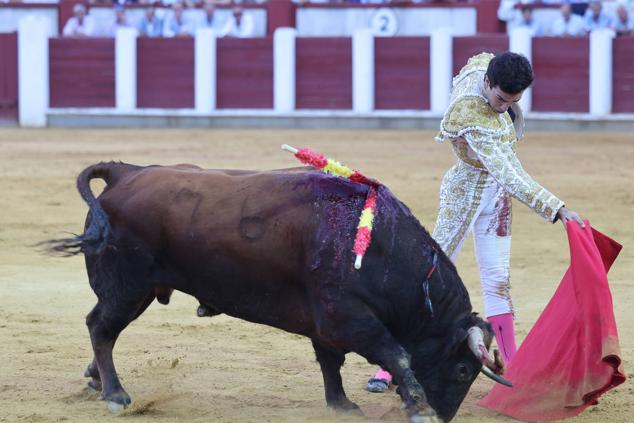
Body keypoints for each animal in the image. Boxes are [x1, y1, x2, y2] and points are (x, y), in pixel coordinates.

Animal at [51, 162, 512, 423]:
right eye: (462, 370)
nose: (447, 417)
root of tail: (126, 173)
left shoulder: (326, 322)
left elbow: (330, 362)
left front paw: (341, 405)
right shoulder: (347, 317)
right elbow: (395, 354)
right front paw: (421, 409)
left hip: (136, 290)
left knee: (103, 329)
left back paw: (95, 381)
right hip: (127, 286)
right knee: (101, 328)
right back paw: (116, 395)